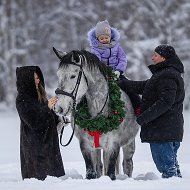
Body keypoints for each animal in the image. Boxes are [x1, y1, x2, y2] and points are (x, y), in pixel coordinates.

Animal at [52, 47, 139, 180]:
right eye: (58, 75)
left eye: (73, 76)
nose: (59, 108)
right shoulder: (86, 146)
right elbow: (91, 172)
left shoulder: (113, 145)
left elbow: (110, 173)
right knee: (99, 166)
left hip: (128, 145)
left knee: (127, 165)